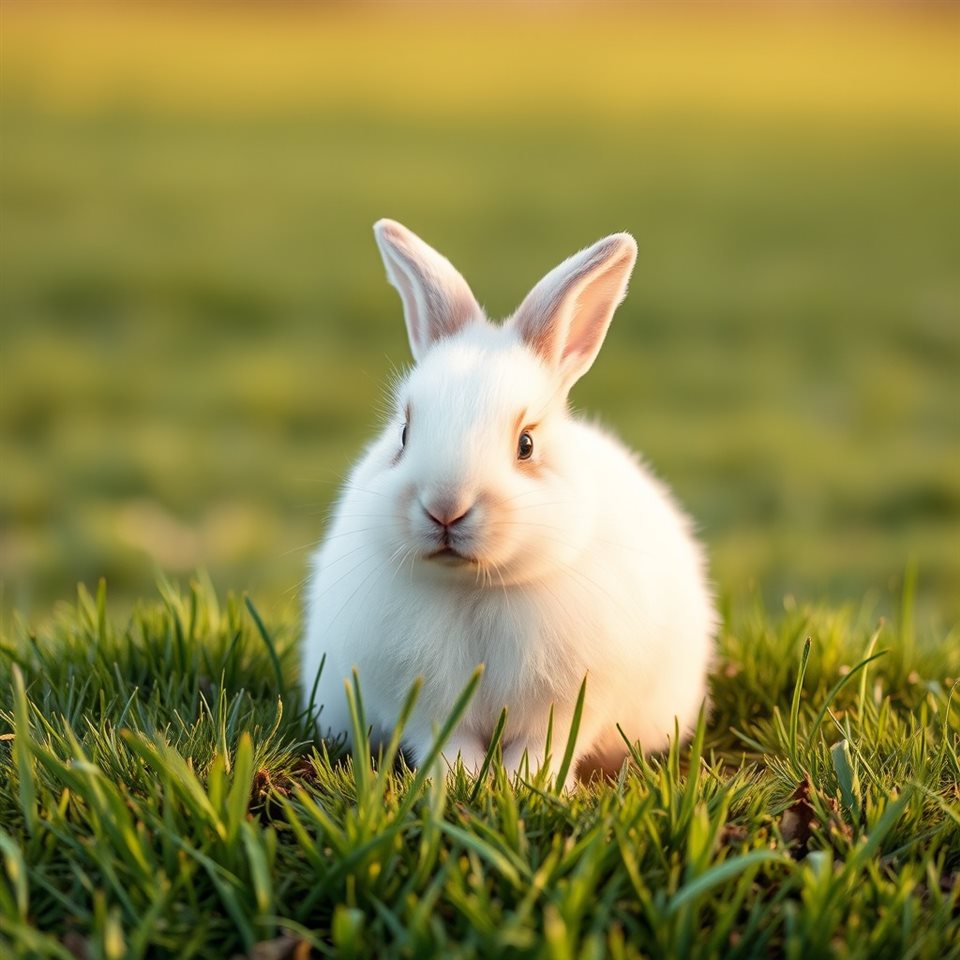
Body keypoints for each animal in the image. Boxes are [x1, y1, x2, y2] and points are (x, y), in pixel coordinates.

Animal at [303, 219, 717, 785]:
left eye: (526, 444)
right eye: (405, 434)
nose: (445, 507)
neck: (475, 587)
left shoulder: (569, 706)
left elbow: (546, 748)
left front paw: (526, 784)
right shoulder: (427, 706)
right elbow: (446, 742)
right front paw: (460, 781)